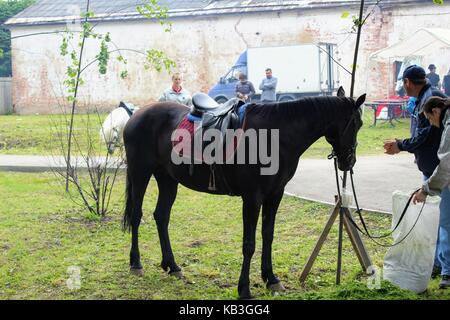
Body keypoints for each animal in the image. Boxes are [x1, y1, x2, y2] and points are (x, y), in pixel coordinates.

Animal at [122, 86, 366, 298]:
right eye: (357, 122)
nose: (349, 161)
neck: (275, 136)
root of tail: (136, 115)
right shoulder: (252, 198)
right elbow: (249, 244)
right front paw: (244, 289)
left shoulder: (275, 195)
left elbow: (268, 236)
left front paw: (271, 278)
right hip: (140, 173)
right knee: (136, 216)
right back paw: (136, 263)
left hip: (167, 179)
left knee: (161, 217)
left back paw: (172, 265)